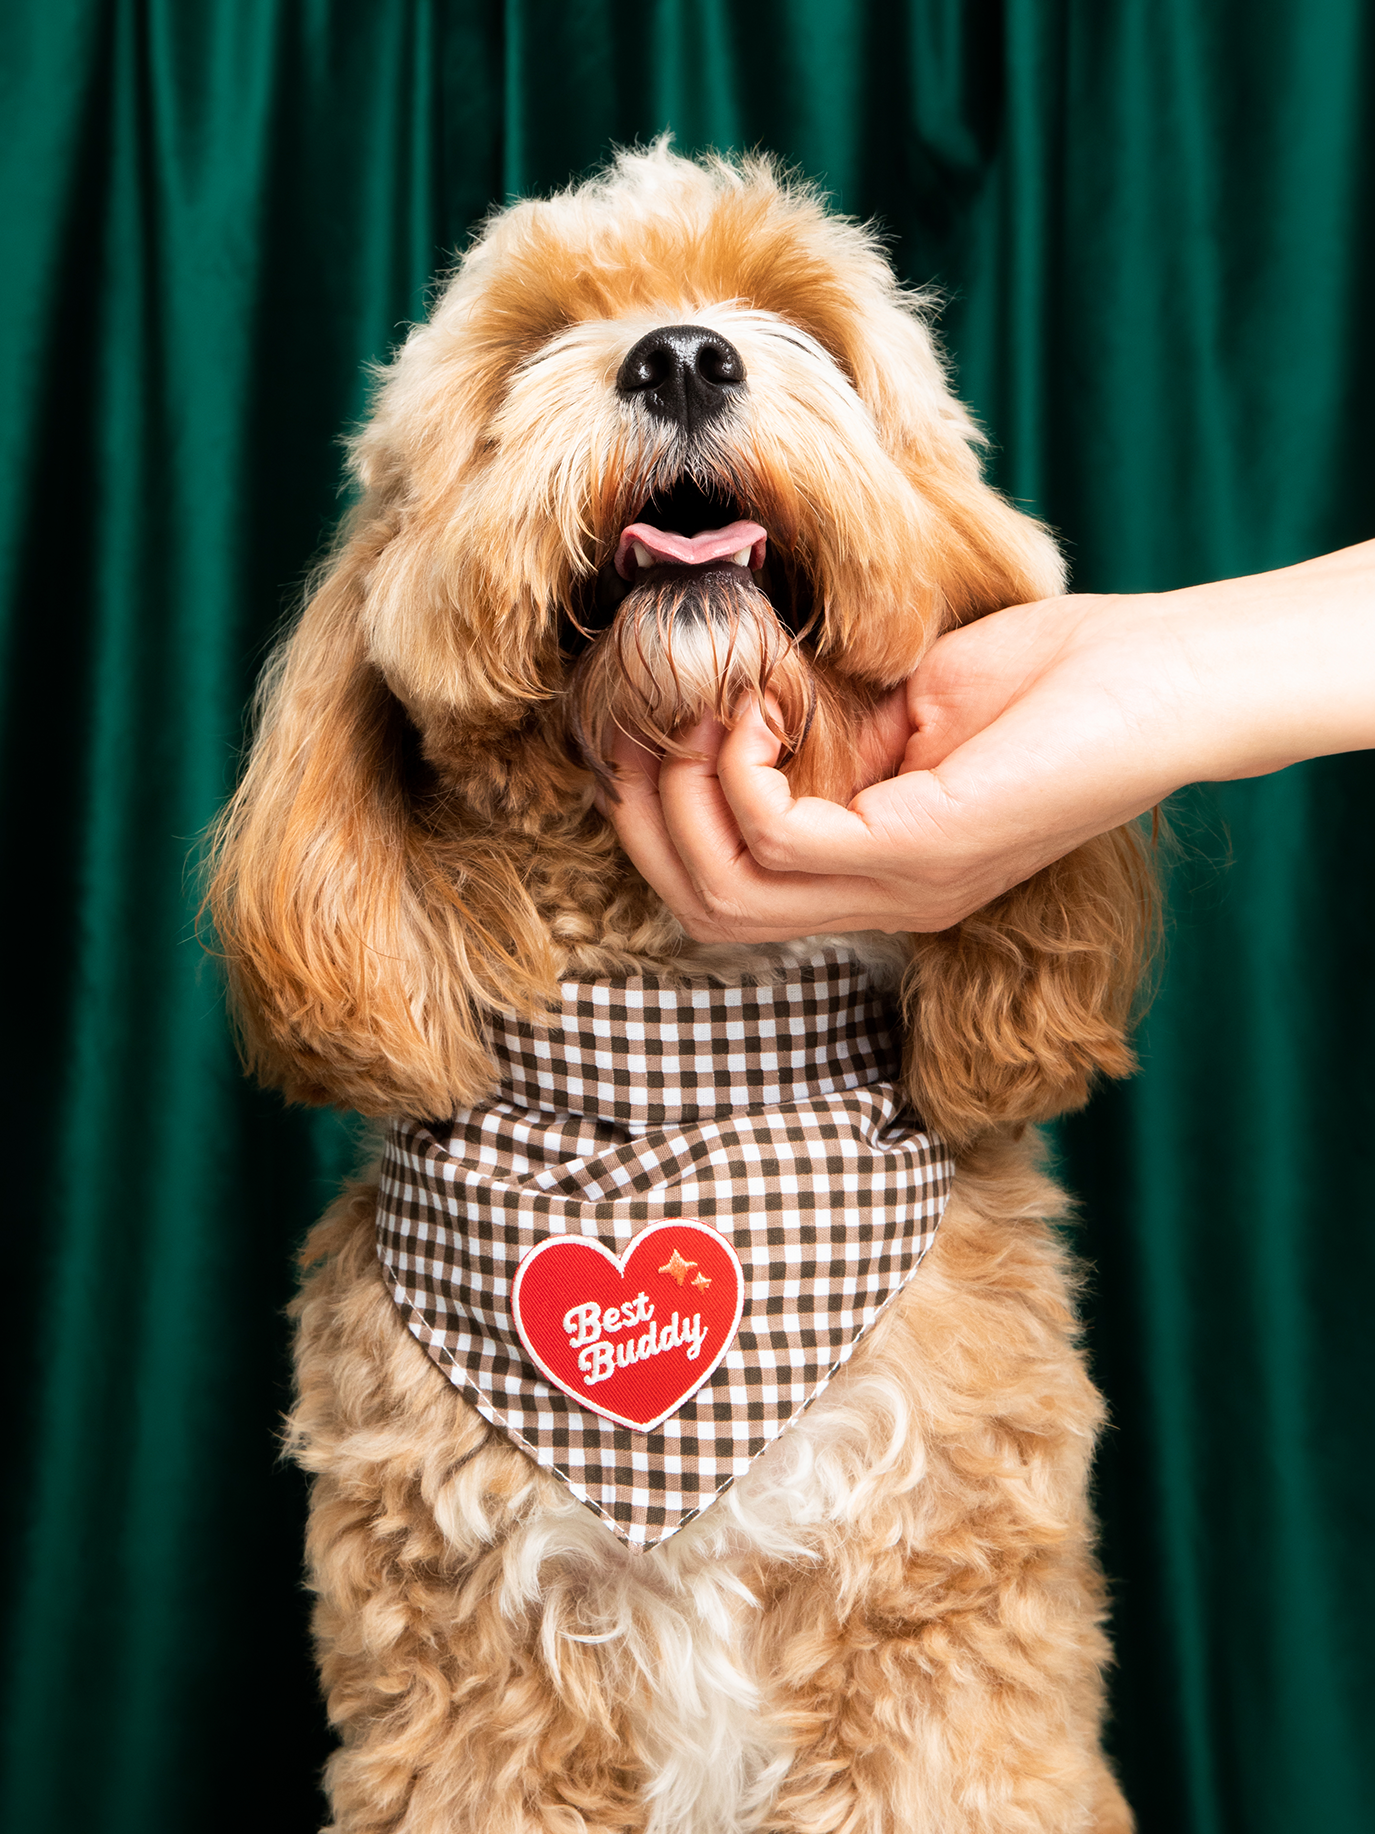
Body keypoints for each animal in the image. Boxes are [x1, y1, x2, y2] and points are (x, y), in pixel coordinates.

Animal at [207, 135, 1151, 1826]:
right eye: (526, 343)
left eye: (805, 326)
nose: (683, 356)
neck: (673, 1072)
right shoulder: (470, 1688)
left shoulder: (939, 1648)